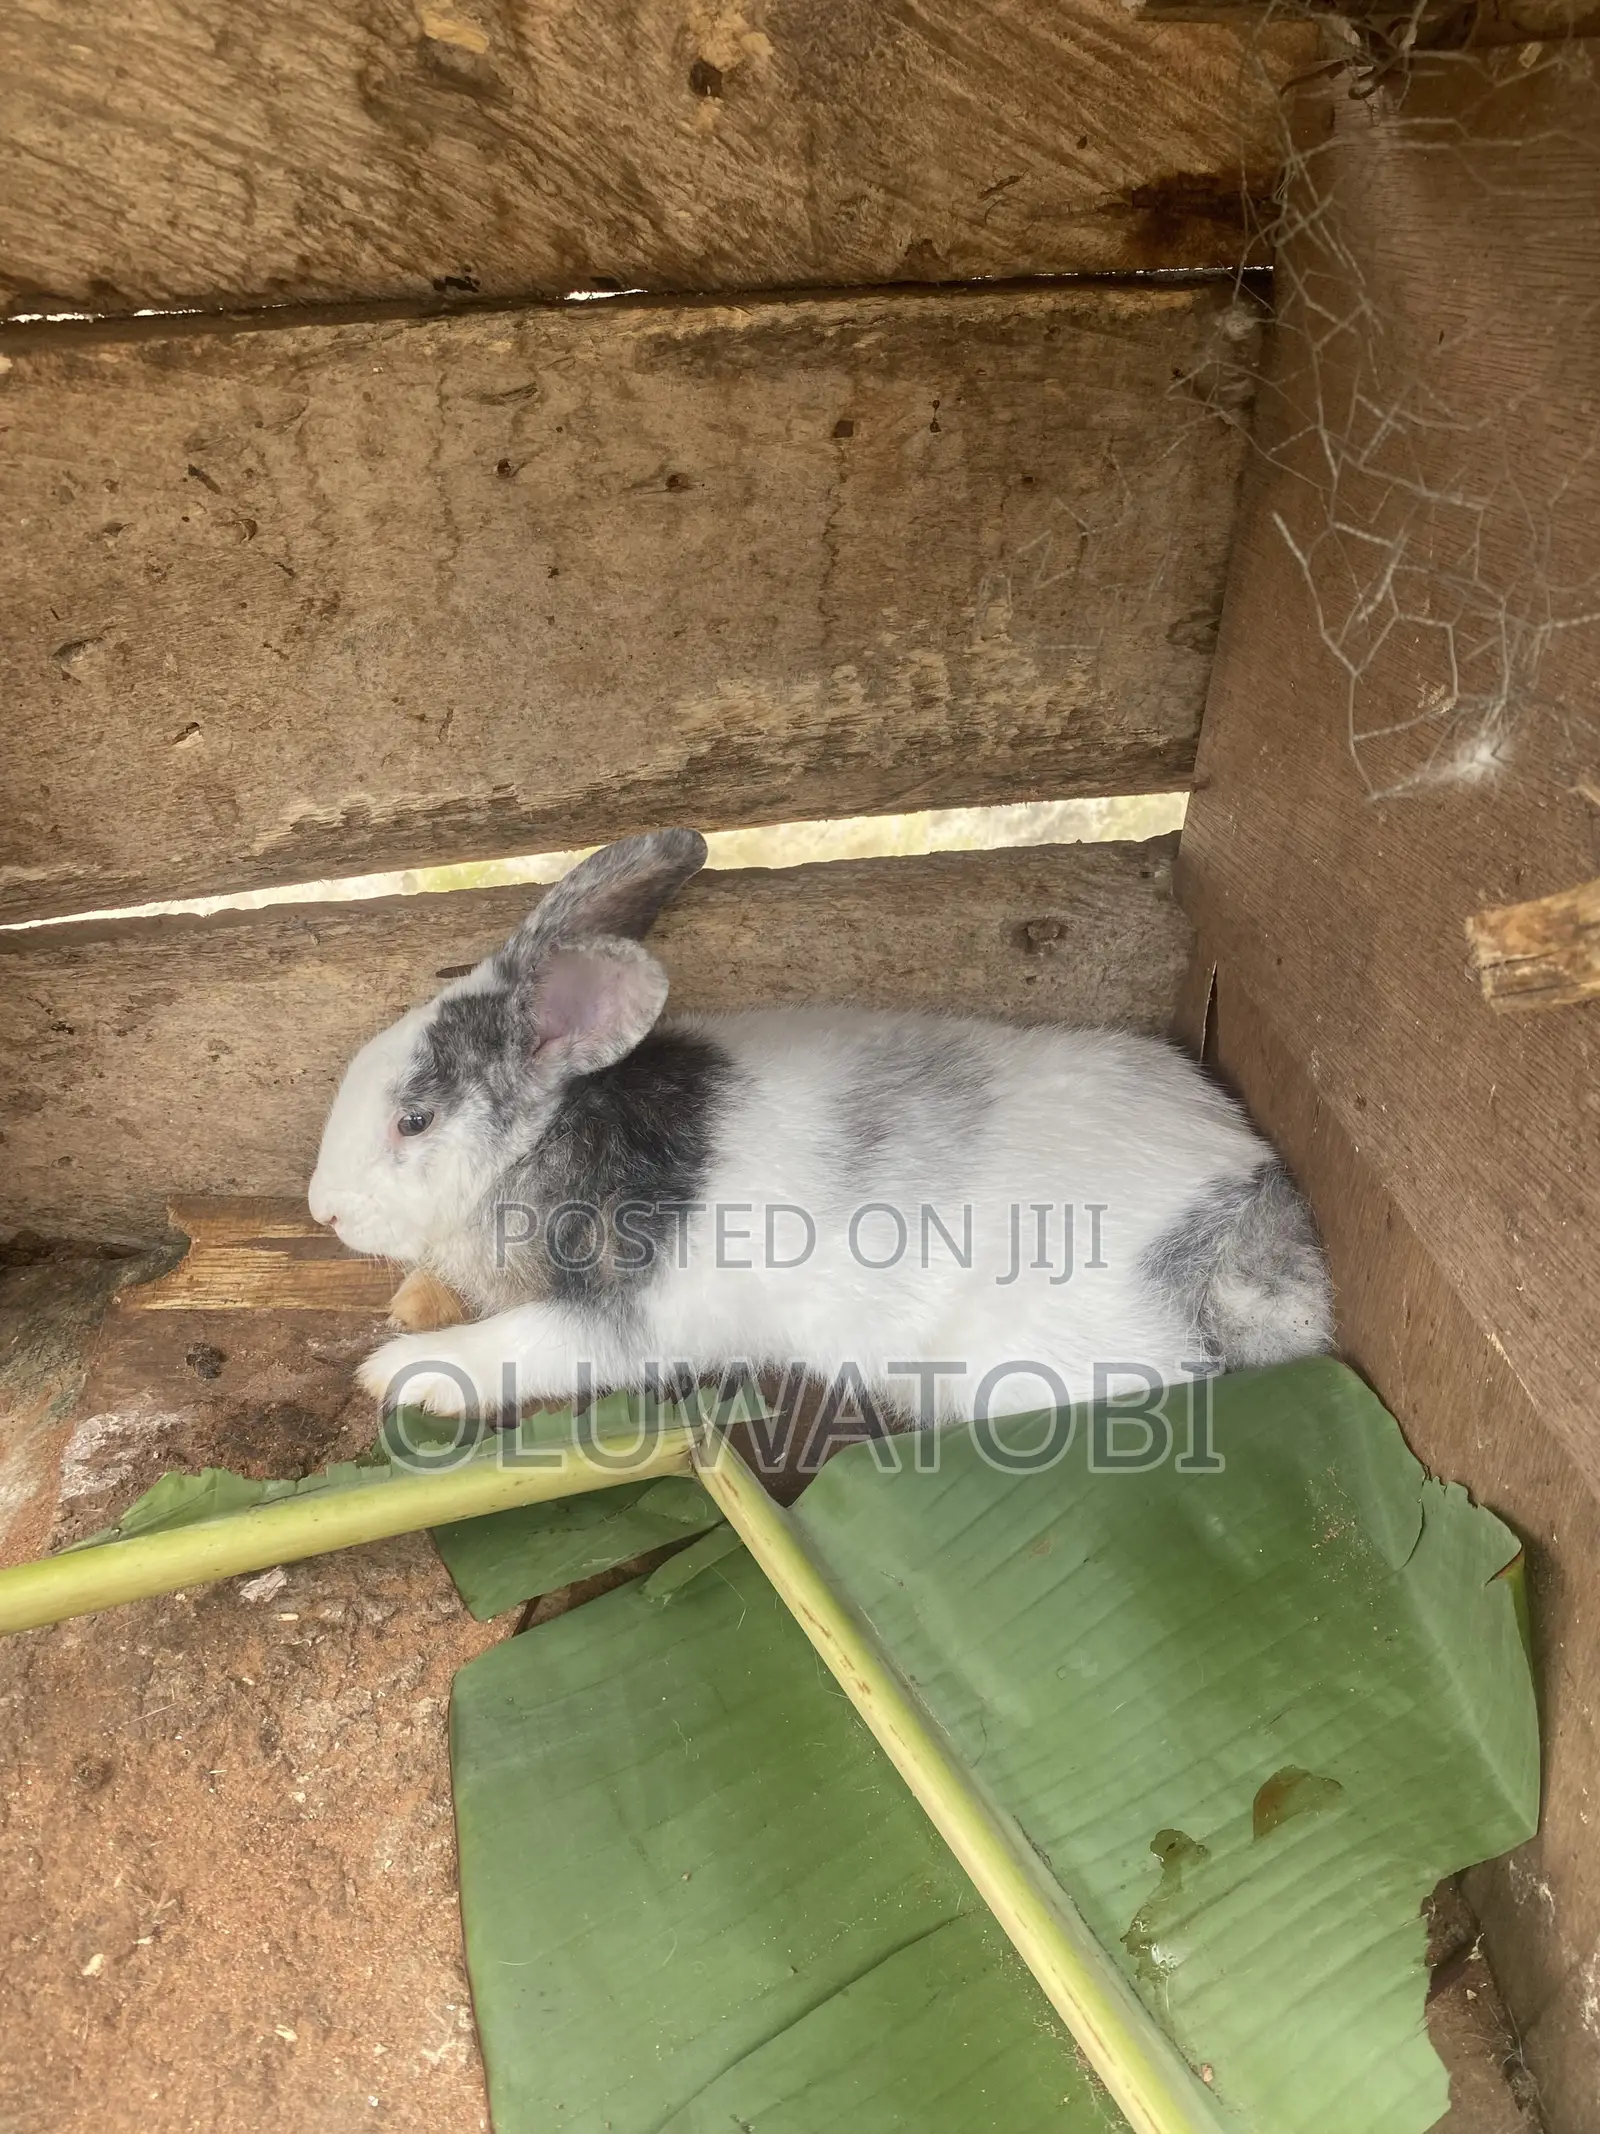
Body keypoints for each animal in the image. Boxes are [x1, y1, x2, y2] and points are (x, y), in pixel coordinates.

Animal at [308, 828, 1332, 1428]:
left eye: (413, 1120)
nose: (322, 1211)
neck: (552, 1142)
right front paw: (411, 1315)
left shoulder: (624, 1326)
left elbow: (516, 1350)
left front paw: (404, 1371)